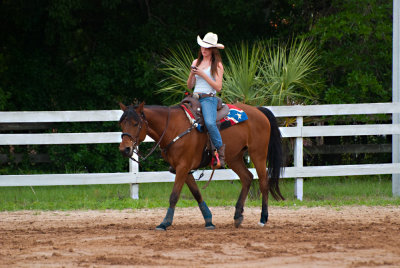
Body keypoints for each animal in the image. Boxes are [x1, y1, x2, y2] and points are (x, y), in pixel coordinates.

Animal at [119, 101, 284, 229]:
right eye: (121, 124)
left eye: (135, 123)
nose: (124, 149)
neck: (173, 128)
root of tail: (258, 110)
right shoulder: (182, 169)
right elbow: (196, 193)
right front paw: (209, 220)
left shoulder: (183, 167)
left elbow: (174, 196)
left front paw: (165, 223)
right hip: (234, 157)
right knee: (247, 177)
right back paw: (237, 215)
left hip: (258, 153)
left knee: (263, 182)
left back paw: (263, 218)